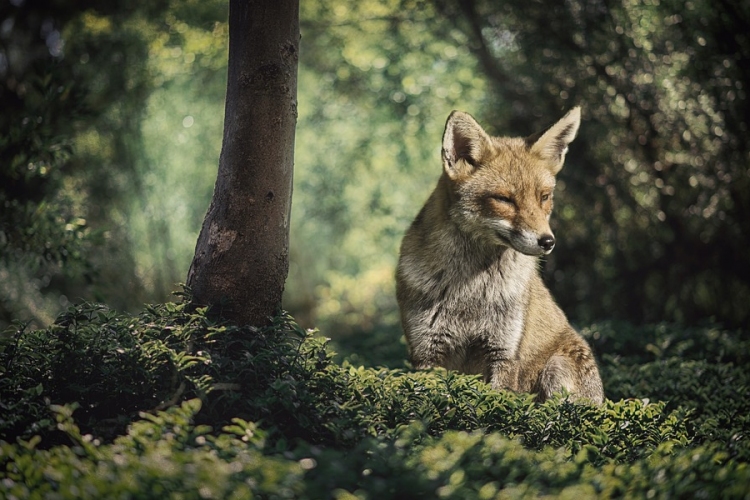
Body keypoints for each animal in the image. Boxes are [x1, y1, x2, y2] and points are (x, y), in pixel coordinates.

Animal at [400, 107, 604, 404]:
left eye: (544, 197)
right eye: (504, 199)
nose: (548, 242)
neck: (470, 292)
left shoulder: (504, 352)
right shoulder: (427, 353)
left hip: (556, 369)